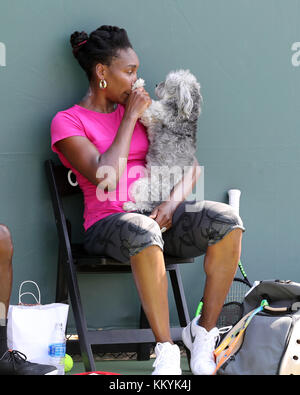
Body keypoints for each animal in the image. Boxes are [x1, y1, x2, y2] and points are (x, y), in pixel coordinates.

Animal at [122, 69, 204, 215]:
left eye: (166, 83)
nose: (156, 84)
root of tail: (158, 202)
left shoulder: (155, 114)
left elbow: (149, 107)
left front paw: (138, 84)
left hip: (141, 185)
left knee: (142, 205)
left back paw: (130, 205)